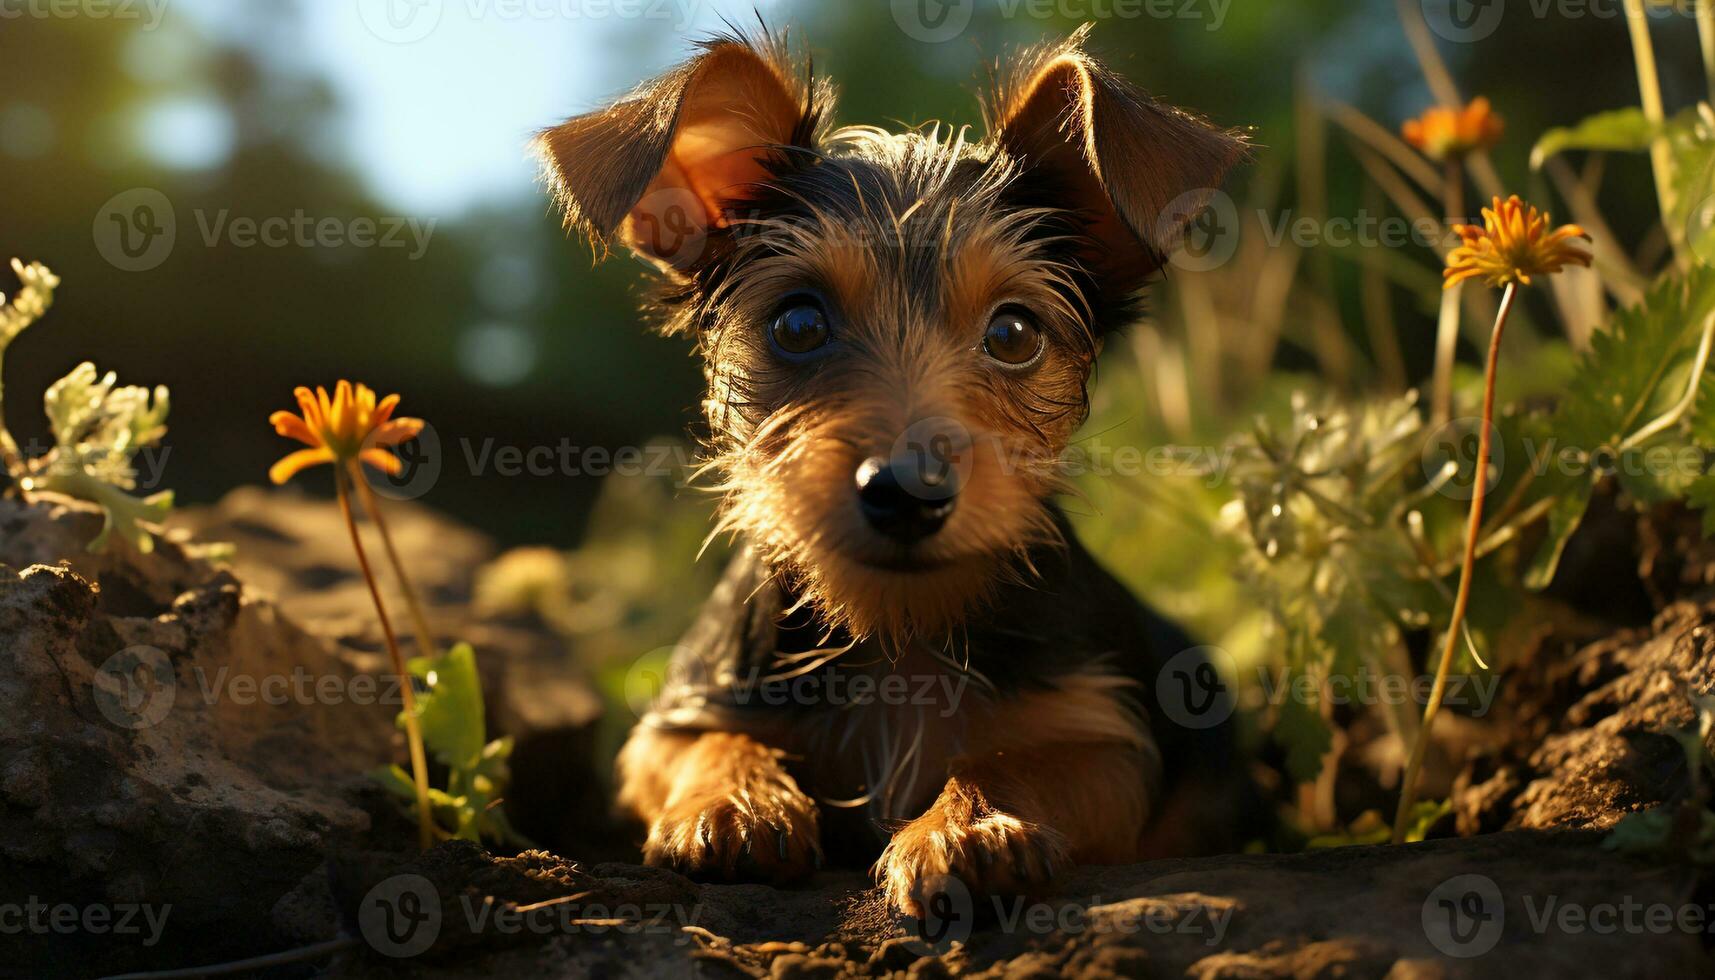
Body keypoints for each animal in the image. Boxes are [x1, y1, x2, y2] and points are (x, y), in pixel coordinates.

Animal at [535, 28, 1248, 919]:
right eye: (797, 324)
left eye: (1013, 333)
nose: (908, 490)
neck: (895, 630)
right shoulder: (674, 719)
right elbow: (705, 743)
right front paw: (730, 800)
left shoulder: (1106, 741)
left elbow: (1012, 758)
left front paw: (971, 824)